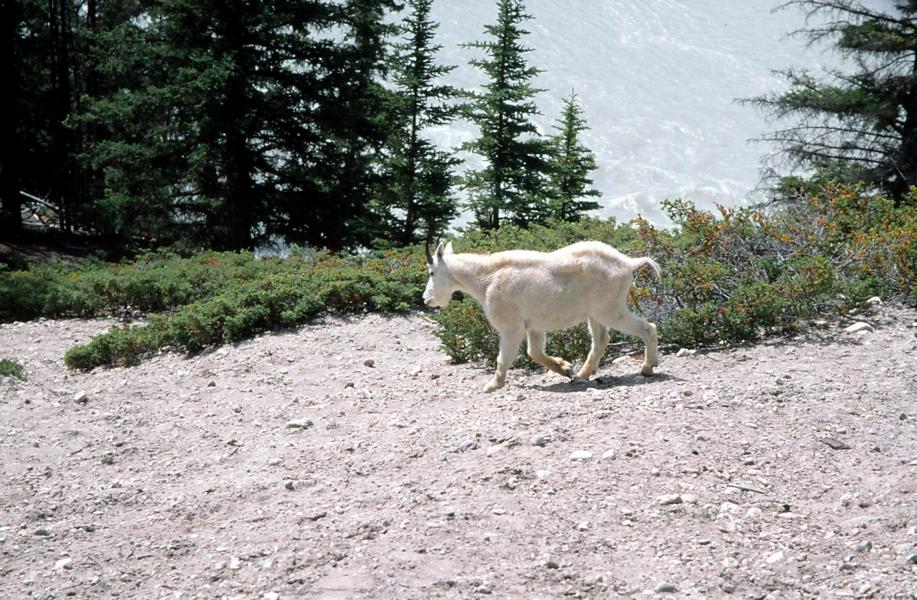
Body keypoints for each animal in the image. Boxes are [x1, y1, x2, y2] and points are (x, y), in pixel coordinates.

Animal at [422, 239, 660, 394]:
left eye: (432, 272)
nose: (427, 299)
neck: (485, 279)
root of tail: (628, 263)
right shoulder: (534, 326)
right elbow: (534, 352)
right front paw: (565, 368)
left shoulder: (511, 326)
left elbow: (503, 357)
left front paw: (492, 385)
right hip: (596, 313)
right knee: (600, 340)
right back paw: (581, 375)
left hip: (609, 308)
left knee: (648, 327)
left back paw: (647, 367)